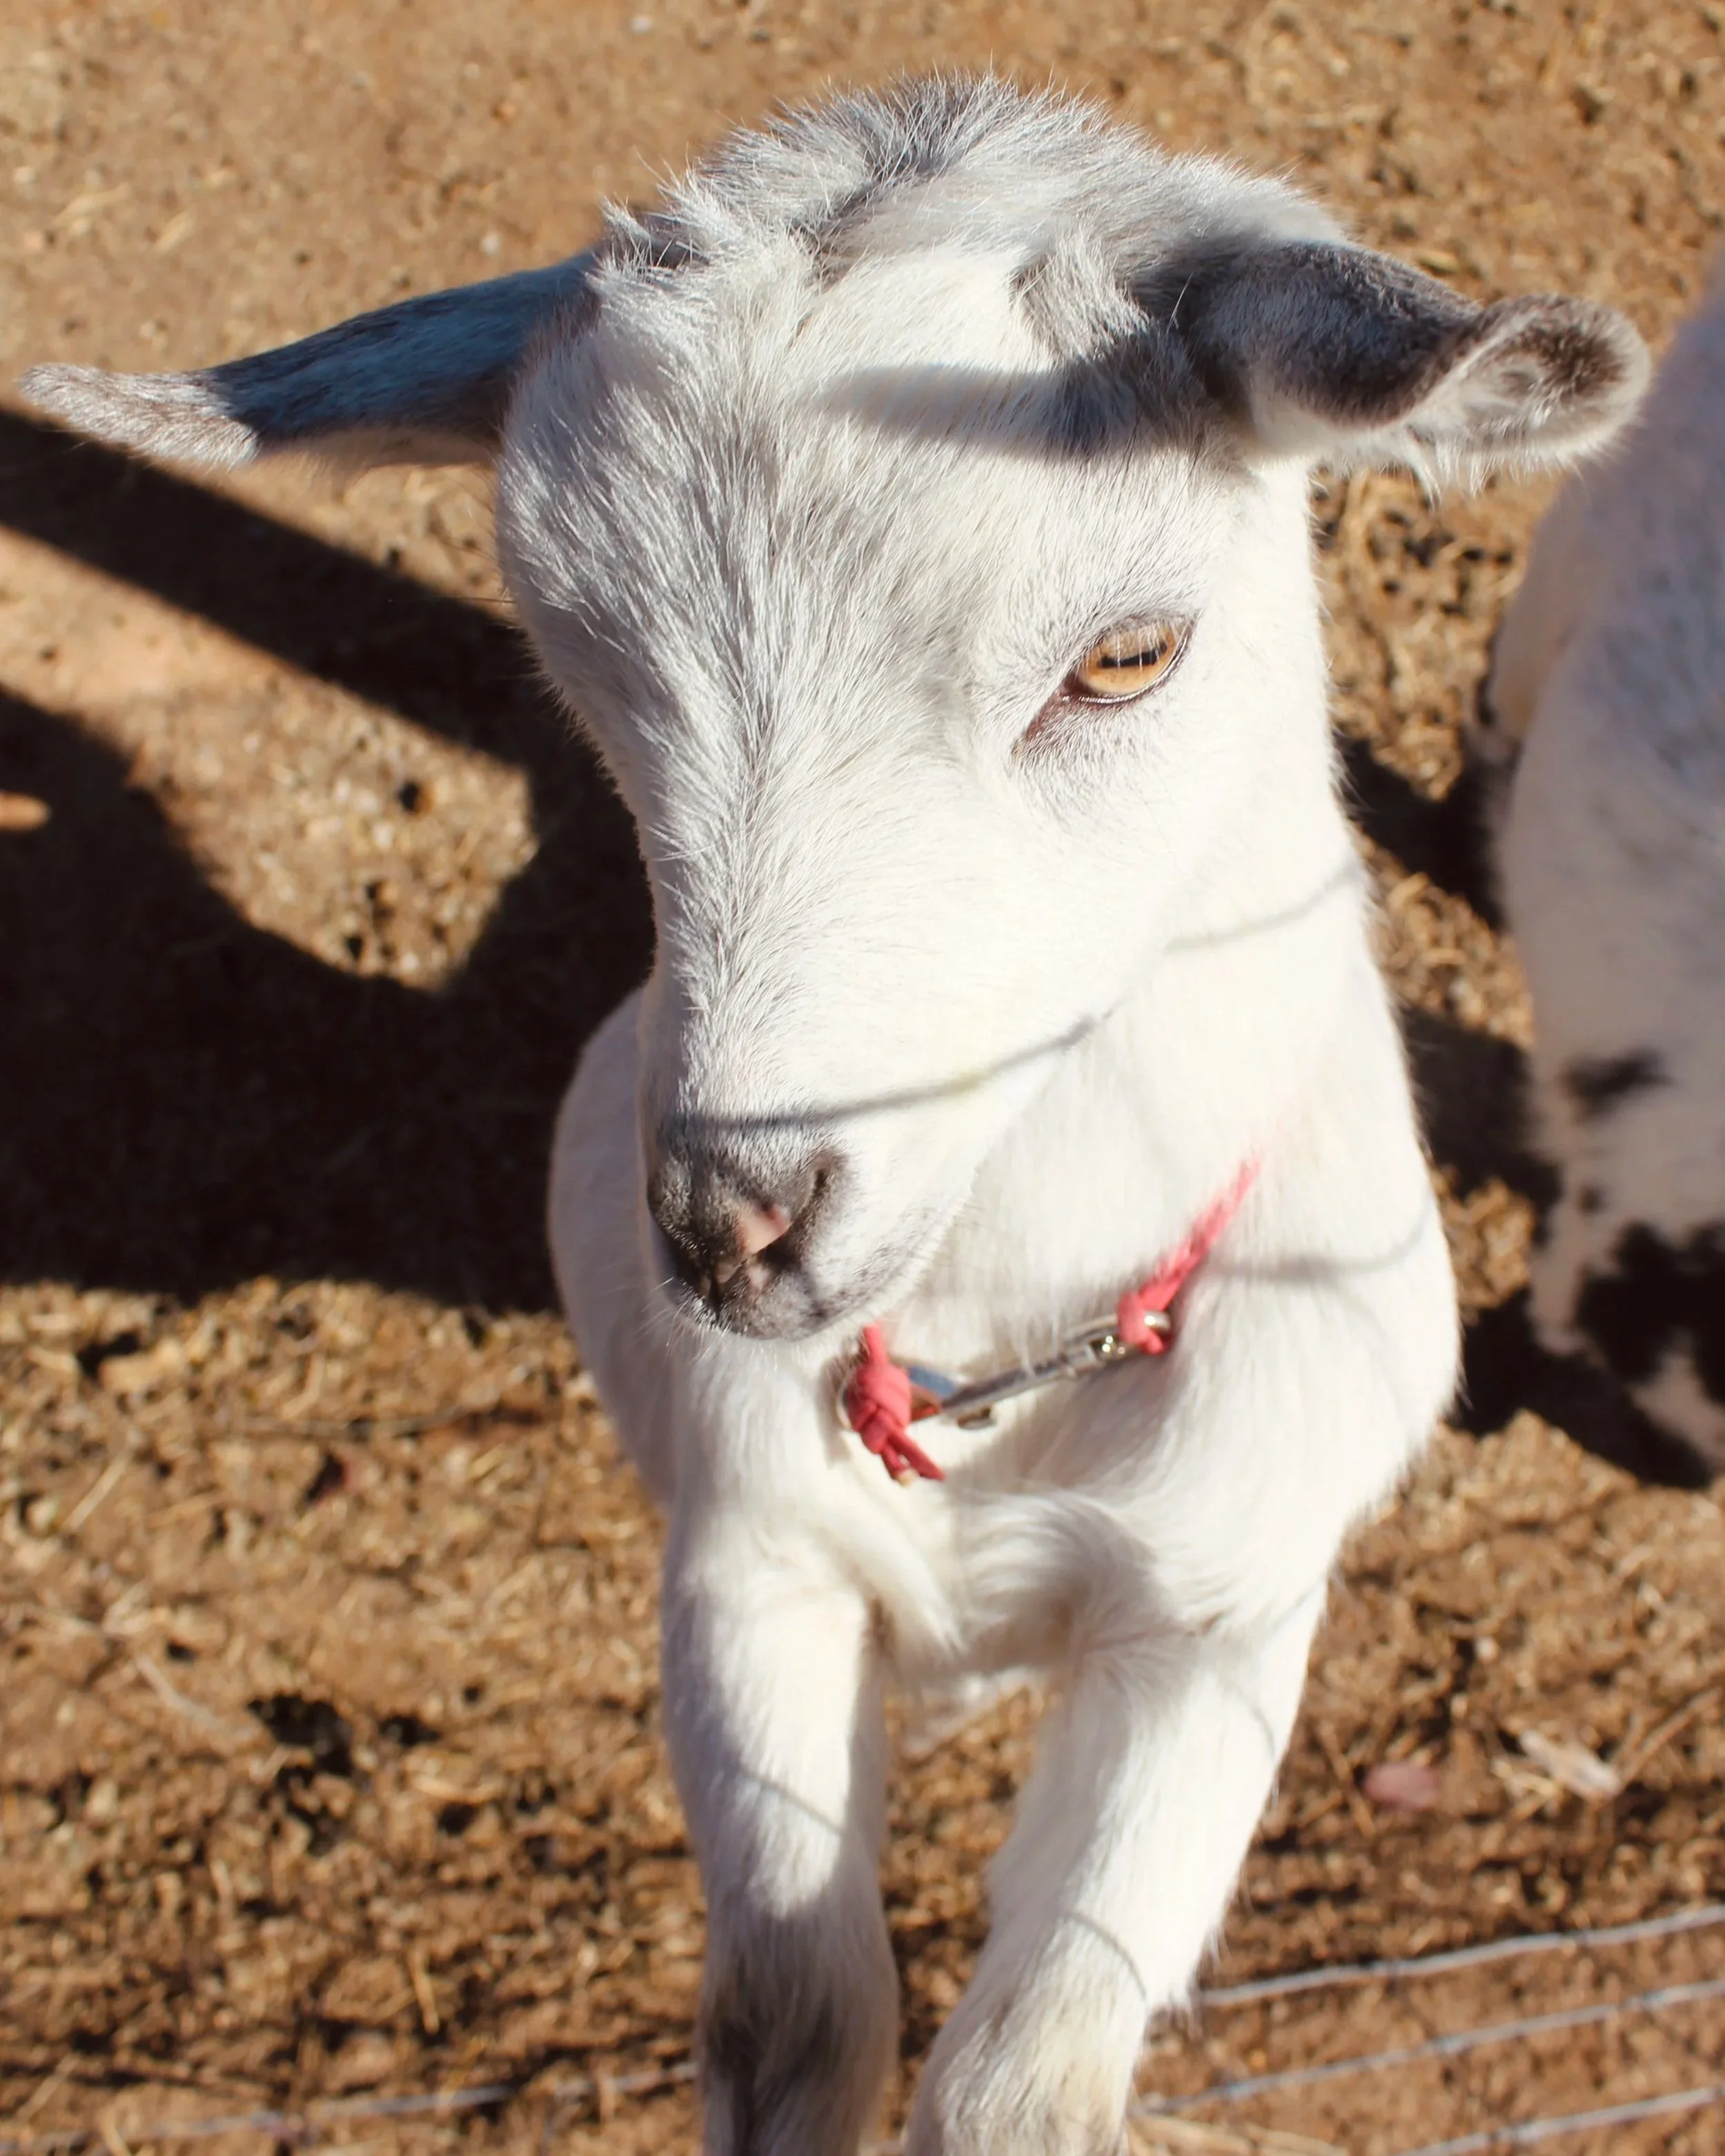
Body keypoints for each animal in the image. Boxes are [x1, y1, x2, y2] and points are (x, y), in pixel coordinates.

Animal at [26, 78, 1647, 2156]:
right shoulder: (749, 1566)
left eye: (1128, 653)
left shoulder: (1222, 1612)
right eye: (575, 662)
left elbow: (1025, 2076)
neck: (1001, 1359)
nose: (739, 1222)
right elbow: (792, 2010)